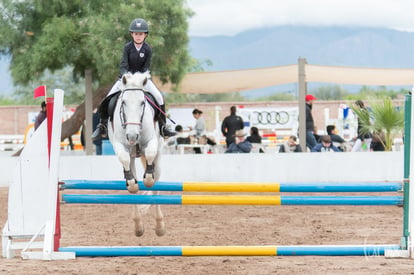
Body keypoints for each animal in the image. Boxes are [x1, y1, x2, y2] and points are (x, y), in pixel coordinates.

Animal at [108, 72, 167, 238]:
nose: (133, 136)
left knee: (156, 184)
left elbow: (150, 156)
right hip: (133, 157)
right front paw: (132, 183)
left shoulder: (152, 142)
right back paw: (138, 226)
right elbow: (125, 161)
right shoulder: (120, 145)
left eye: (142, 103)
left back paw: (159, 226)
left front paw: (147, 178)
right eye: (123, 103)